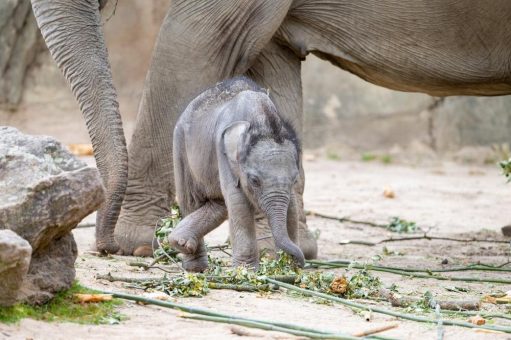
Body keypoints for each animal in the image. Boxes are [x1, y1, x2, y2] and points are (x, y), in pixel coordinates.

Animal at [168, 76, 306, 270]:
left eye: (294, 180)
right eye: (254, 180)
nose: (301, 262)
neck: (262, 121)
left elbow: (291, 207)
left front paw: (288, 266)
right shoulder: (224, 153)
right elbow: (239, 202)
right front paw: (245, 270)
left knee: (219, 203)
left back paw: (180, 242)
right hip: (180, 145)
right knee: (192, 201)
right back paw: (193, 264)